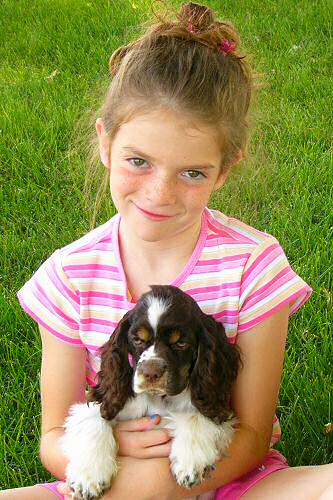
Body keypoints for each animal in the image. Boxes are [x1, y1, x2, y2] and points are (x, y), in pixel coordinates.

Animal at [61, 286, 240, 500]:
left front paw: (190, 463)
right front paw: (87, 479)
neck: (159, 399)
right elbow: (93, 418)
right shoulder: (108, 404)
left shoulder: (216, 406)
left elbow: (196, 414)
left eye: (181, 343)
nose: (151, 372)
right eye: (137, 339)